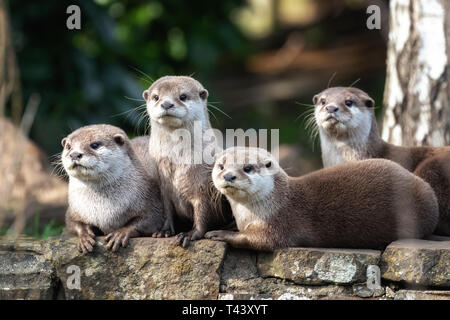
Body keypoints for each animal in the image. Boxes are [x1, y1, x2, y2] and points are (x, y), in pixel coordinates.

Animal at [61, 124, 163, 252]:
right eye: (68, 146)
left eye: (95, 145)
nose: (74, 154)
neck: (103, 208)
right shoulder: (75, 209)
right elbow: (72, 222)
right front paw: (84, 236)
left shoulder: (149, 198)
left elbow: (150, 219)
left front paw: (121, 233)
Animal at [142, 75, 232, 248]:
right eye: (156, 97)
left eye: (183, 96)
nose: (166, 104)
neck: (177, 161)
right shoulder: (163, 187)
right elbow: (167, 211)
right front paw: (164, 231)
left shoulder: (203, 187)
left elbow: (203, 213)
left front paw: (190, 234)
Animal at [204, 147, 440, 250]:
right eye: (221, 166)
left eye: (247, 167)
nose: (228, 175)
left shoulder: (279, 223)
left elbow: (260, 241)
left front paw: (220, 233)